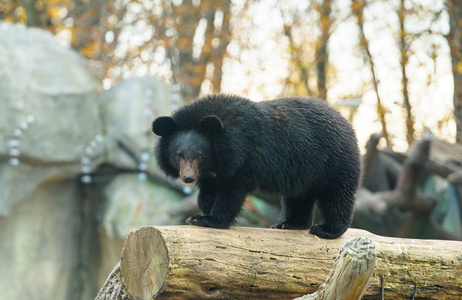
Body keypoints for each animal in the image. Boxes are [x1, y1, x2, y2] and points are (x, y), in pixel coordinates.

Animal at [152, 94, 360, 239]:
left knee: (337, 195)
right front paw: (205, 205)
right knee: (299, 197)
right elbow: (209, 189)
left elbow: (232, 193)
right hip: (305, 171)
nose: (188, 178)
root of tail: (345, 122)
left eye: (200, 155)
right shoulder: (214, 171)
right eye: (178, 155)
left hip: (335, 162)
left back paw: (327, 230)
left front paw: (205, 219)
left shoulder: (243, 159)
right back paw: (289, 224)